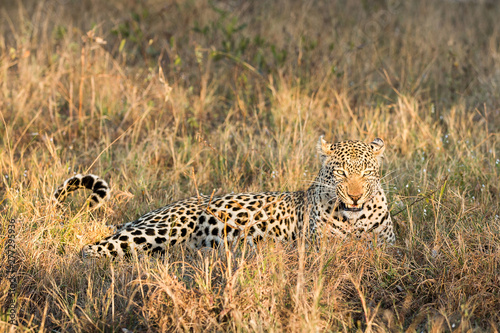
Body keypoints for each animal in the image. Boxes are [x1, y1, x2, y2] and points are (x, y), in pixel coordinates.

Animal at [54, 136, 396, 258]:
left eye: (367, 172)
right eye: (341, 173)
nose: (355, 197)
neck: (354, 219)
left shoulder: (388, 247)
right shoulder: (319, 248)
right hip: (164, 228)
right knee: (90, 249)